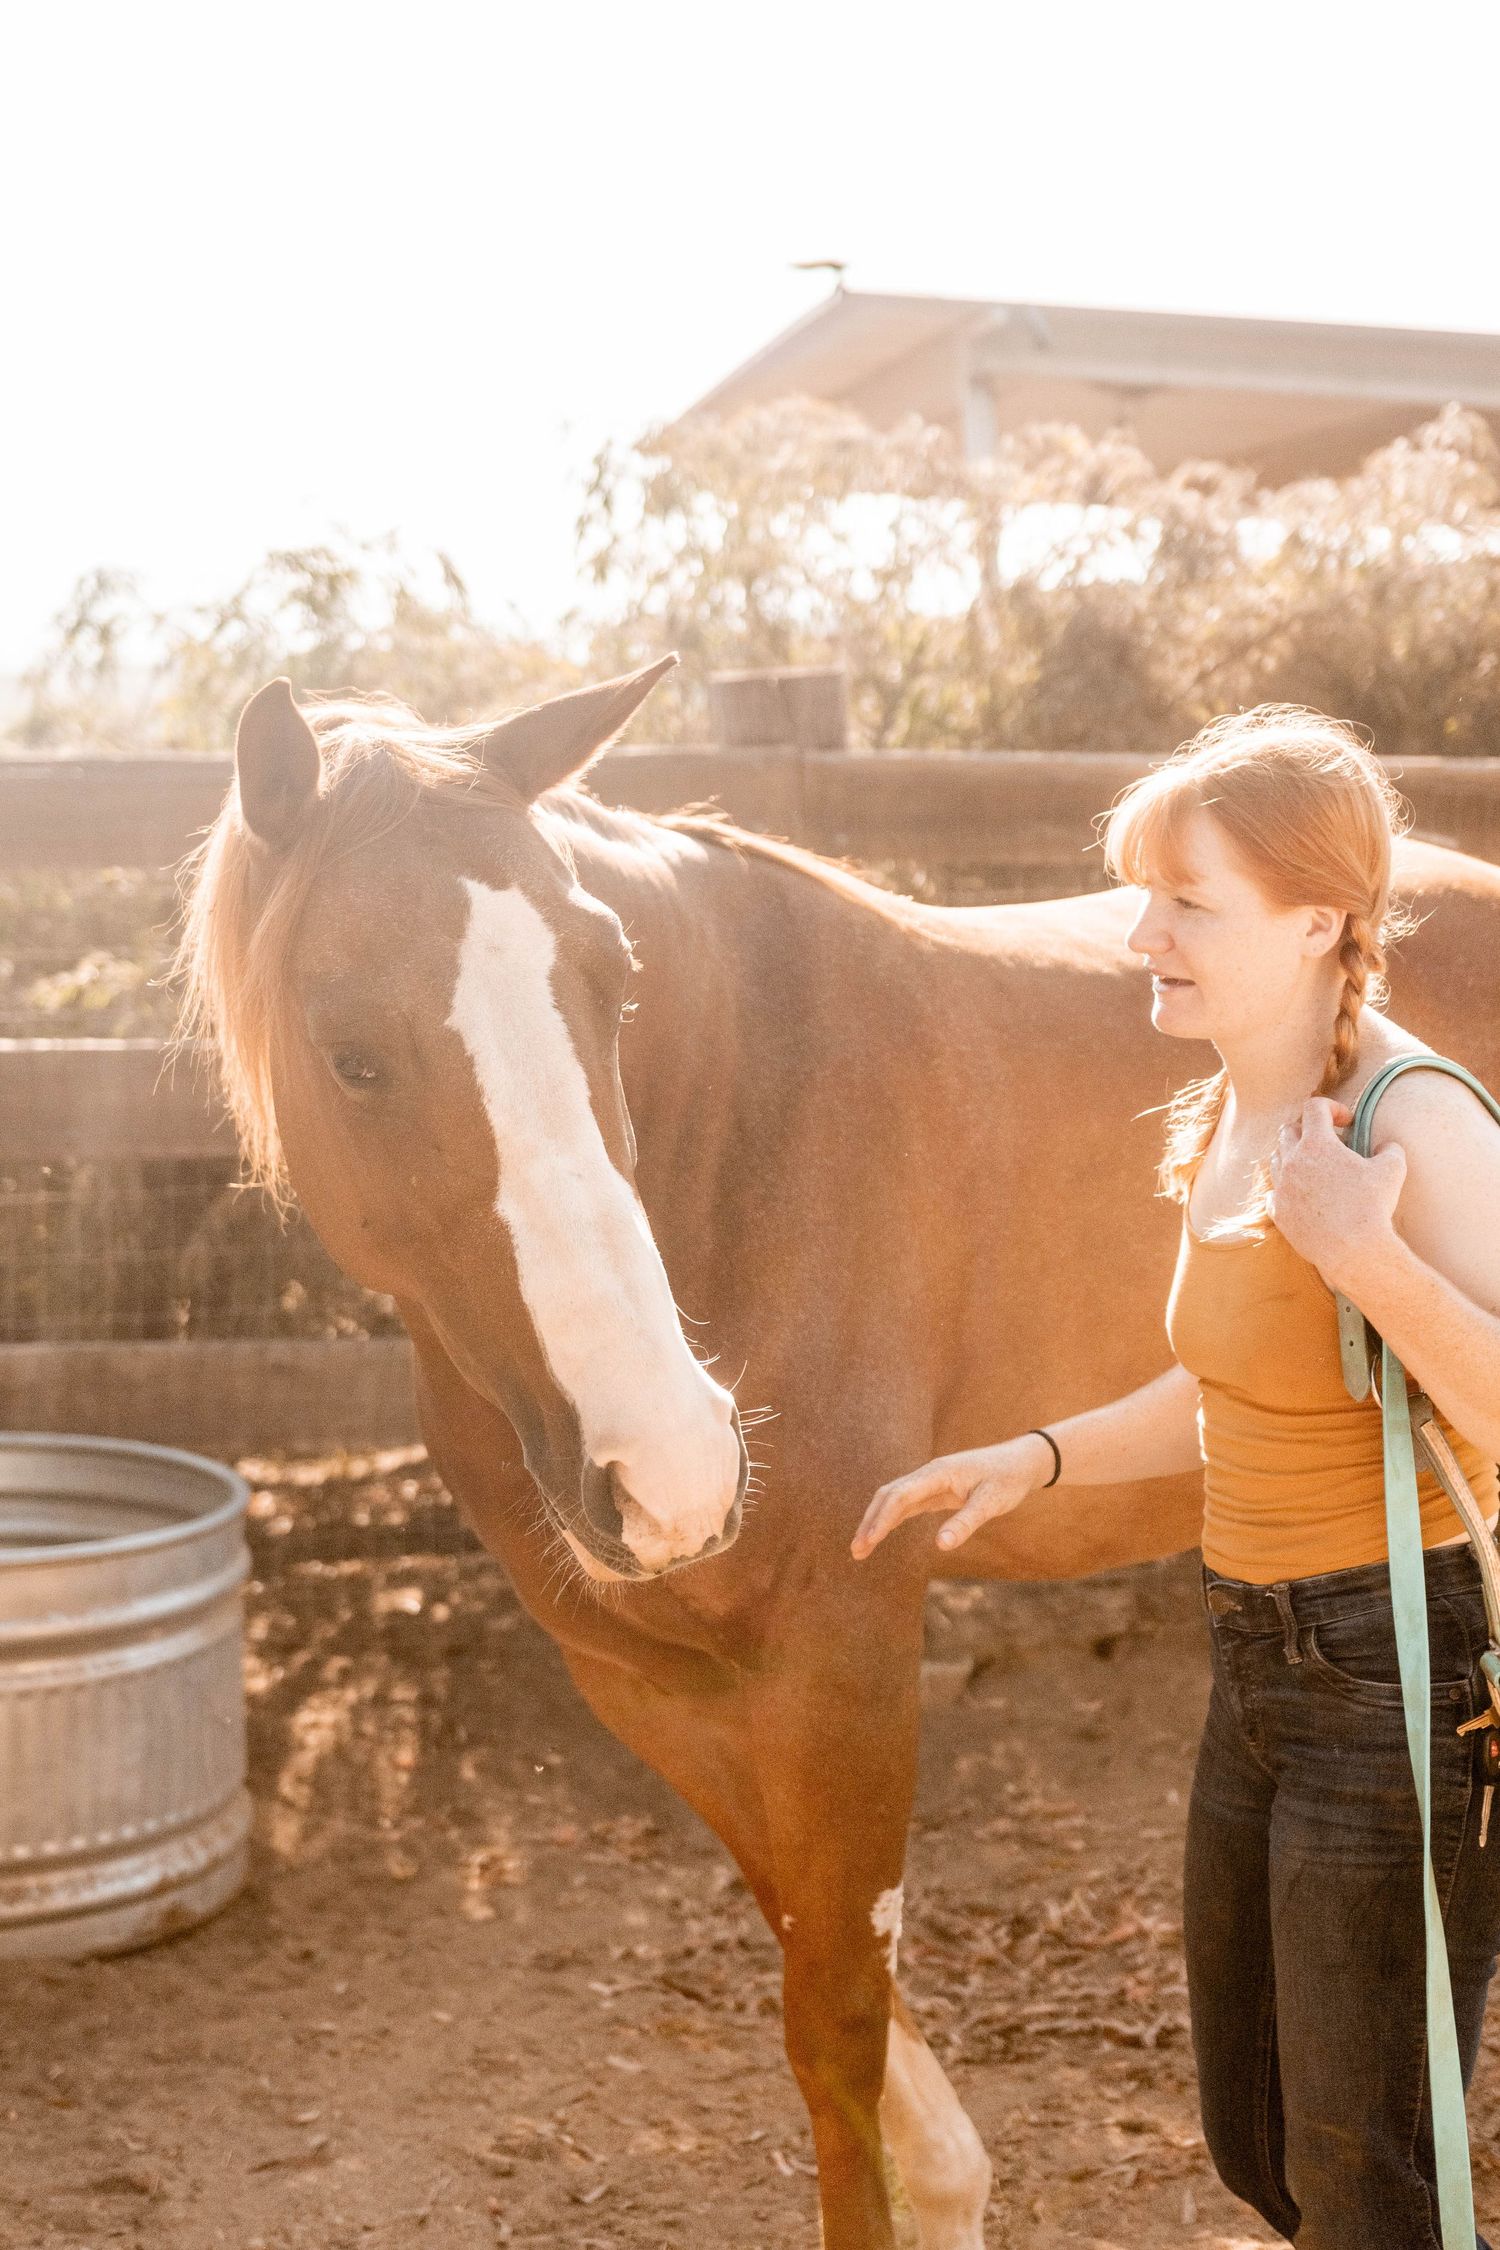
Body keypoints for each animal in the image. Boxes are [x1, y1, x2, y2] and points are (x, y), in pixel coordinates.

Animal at [177, 658, 1500, 2250]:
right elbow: (822, 1975)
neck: (743, 1134)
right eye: (351, 1052)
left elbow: (838, 2038)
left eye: (612, 983)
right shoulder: (654, 1682)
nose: (674, 1466)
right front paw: (952, 2186)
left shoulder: (845, 1654)